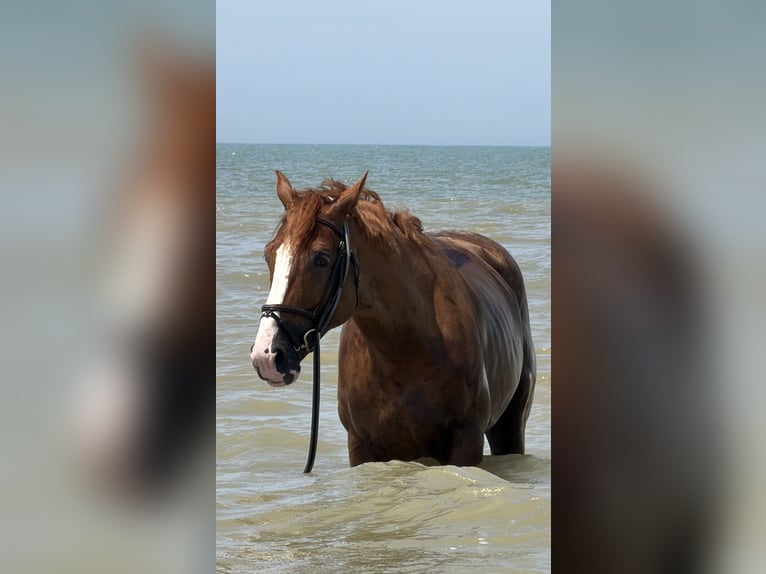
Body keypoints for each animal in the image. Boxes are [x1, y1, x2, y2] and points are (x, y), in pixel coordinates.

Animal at [250, 171, 536, 467]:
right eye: (269, 254)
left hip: (510, 427)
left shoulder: (466, 441)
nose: (267, 355)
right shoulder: (361, 445)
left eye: (321, 259)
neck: (404, 351)